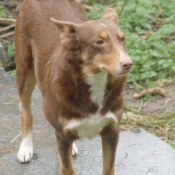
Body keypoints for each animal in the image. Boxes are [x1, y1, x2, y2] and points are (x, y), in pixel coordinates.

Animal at [15, 0, 133, 175]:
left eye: (122, 39)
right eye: (99, 41)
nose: (128, 63)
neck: (95, 81)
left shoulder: (112, 131)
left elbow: (108, 167)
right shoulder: (62, 136)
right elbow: (67, 168)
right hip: (24, 73)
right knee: (26, 113)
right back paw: (26, 147)